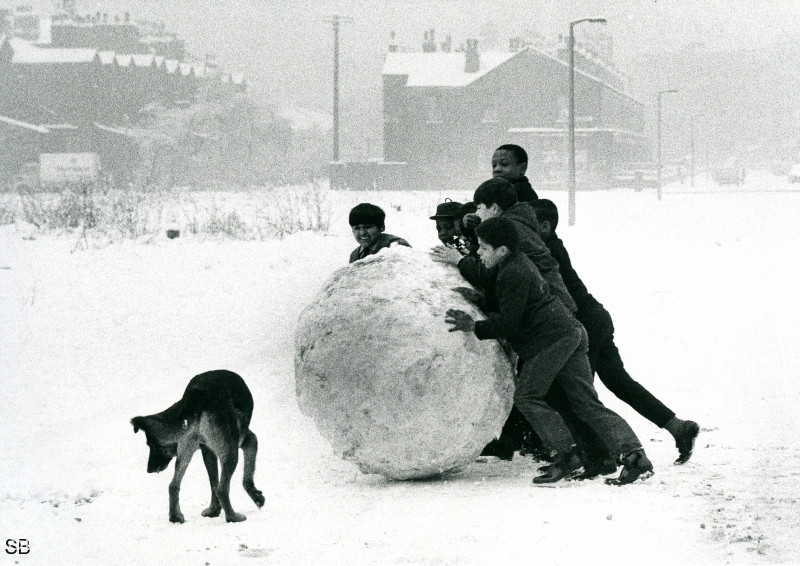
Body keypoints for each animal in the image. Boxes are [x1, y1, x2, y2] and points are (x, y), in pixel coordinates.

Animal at [131, 370, 266, 524]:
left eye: (152, 446)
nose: (149, 470)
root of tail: (198, 393)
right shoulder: (248, 441)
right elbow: (247, 477)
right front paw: (257, 497)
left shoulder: (207, 451)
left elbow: (214, 482)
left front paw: (214, 510)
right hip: (231, 453)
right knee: (222, 489)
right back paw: (233, 517)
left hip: (185, 452)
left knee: (174, 485)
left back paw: (175, 516)